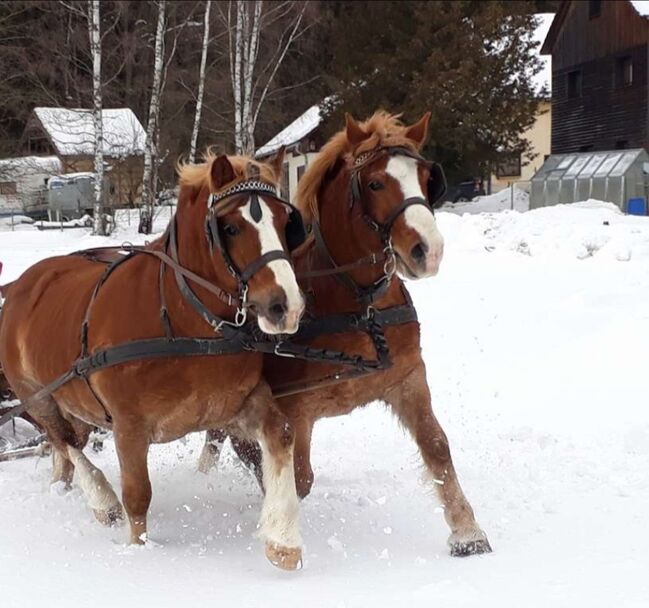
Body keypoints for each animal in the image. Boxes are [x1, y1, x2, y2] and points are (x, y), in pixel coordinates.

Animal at [0, 152, 308, 568]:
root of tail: (21, 284)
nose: (285, 307)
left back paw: (62, 488)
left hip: (74, 403)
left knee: (66, 446)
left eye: (284, 221)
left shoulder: (235, 404)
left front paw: (283, 539)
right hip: (37, 396)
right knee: (62, 441)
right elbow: (137, 495)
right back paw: (101, 500)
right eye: (230, 227)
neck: (183, 318)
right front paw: (139, 552)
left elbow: (281, 434)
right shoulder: (128, 426)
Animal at [202, 111, 492, 560]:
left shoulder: (408, 379)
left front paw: (467, 531)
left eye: (427, 178)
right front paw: (277, 527)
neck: (356, 300)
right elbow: (296, 477)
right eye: (375, 184)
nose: (428, 250)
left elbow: (437, 446)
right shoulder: (294, 410)